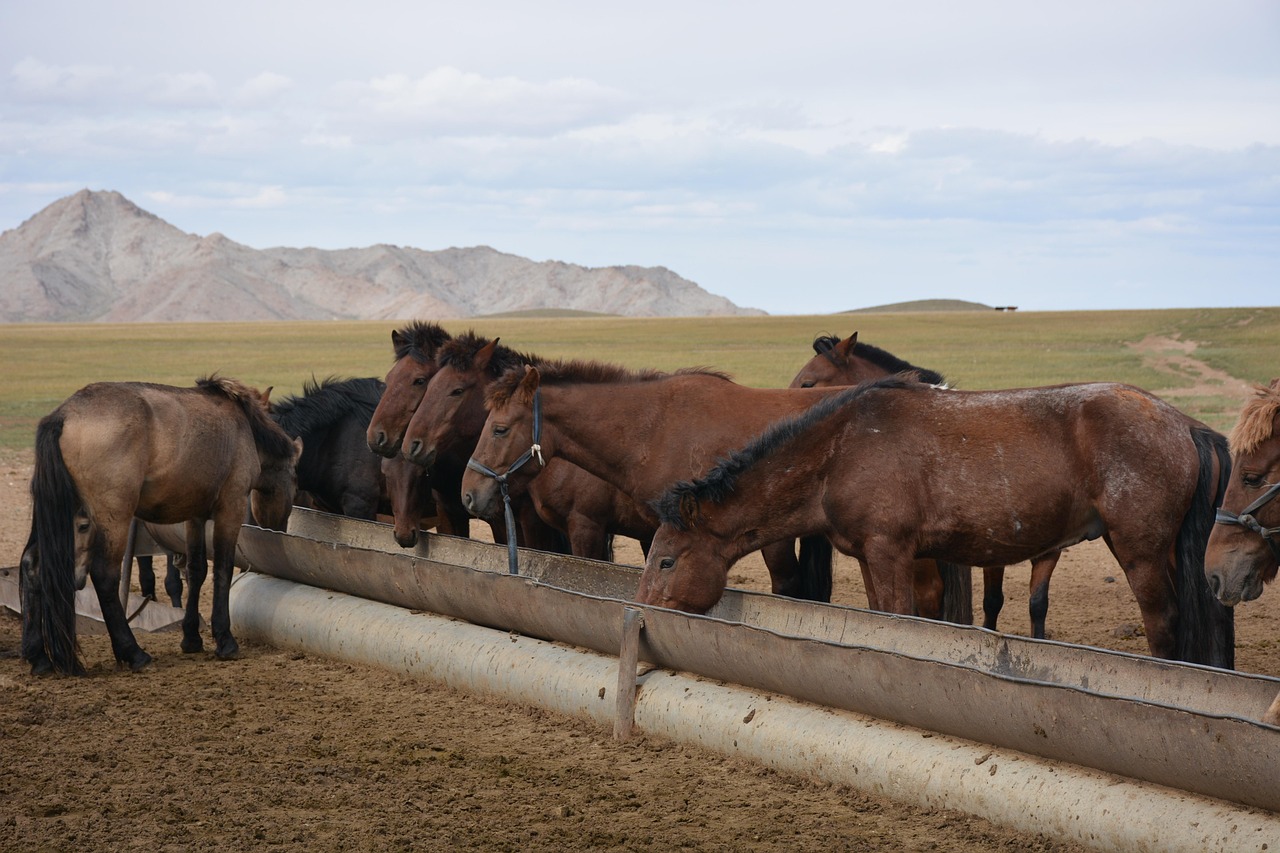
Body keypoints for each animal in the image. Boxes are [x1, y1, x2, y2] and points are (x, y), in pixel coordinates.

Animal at [20, 377, 301, 675]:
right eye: (295, 480)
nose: (280, 529)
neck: (245, 428)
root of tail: (64, 415)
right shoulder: (231, 508)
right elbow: (223, 570)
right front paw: (224, 640)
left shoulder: (195, 516)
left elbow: (197, 571)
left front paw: (191, 638)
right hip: (112, 520)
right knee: (104, 577)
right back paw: (134, 653)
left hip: (57, 517)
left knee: (33, 566)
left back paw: (39, 657)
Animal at [638, 375, 1235, 668]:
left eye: (666, 559)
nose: (639, 615)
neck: (839, 451)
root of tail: (1185, 425)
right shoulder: (872, 557)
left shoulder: (891, 552)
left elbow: (899, 617)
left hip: (1140, 551)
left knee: (1163, 624)